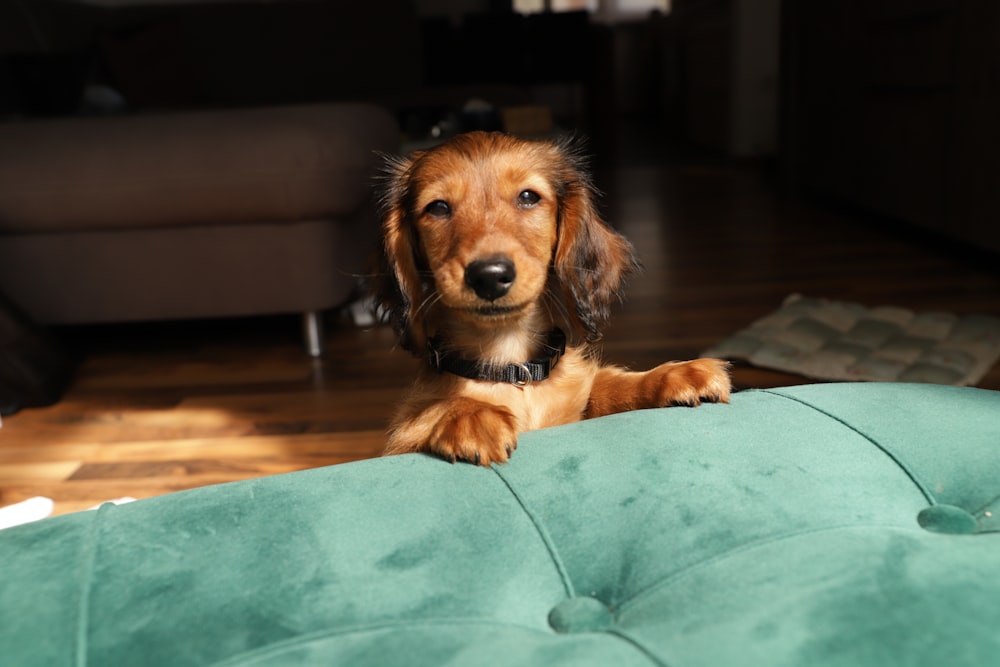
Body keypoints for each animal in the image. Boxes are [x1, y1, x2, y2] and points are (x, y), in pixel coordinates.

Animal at [374, 130, 728, 464]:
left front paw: (672, 375)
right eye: (438, 207)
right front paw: (470, 415)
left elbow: (604, 384)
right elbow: (423, 414)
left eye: (528, 197)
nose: (489, 276)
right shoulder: (400, 440)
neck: (511, 368)